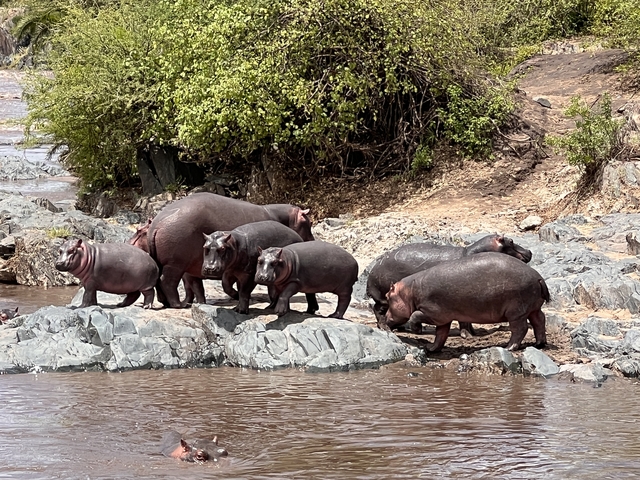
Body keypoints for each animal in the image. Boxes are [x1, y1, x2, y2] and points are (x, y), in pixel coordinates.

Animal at [147, 193, 314, 308]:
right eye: (309, 222)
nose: (313, 241)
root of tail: (156, 224)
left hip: (172, 263)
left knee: (163, 281)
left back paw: (170, 303)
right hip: (175, 264)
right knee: (167, 281)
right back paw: (178, 305)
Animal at [367, 234, 532, 335]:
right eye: (511, 241)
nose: (530, 251)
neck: (469, 252)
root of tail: (372, 270)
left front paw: (474, 333)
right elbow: (464, 319)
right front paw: (468, 335)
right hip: (383, 297)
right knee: (377, 309)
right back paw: (386, 328)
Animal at [384, 252, 548, 352]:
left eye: (387, 296)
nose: (384, 317)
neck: (409, 291)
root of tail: (538, 277)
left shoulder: (432, 313)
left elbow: (415, 316)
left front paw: (417, 330)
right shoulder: (443, 319)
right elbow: (440, 335)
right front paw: (431, 349)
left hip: (516, 312)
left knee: (520, 329)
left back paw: (509, 348)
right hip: (533, 308)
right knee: (539, 321)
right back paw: (539, 344)